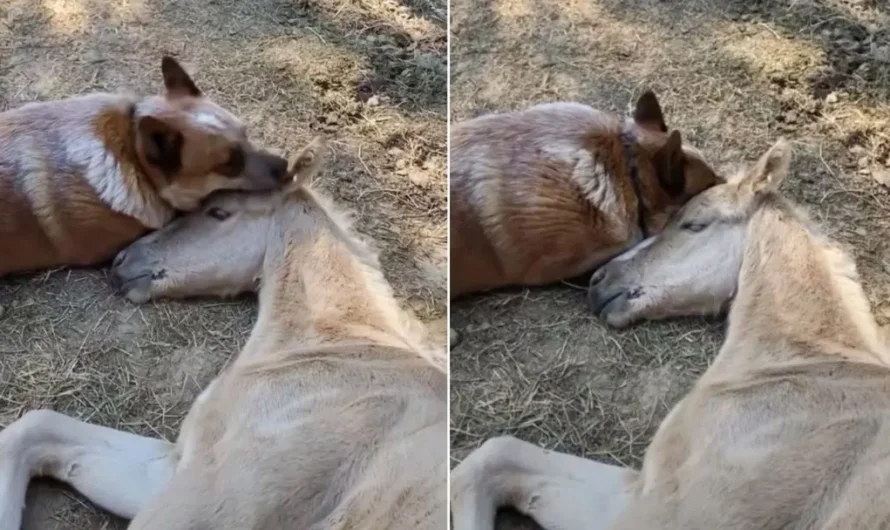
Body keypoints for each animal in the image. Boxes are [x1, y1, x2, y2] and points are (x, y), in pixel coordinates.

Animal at [0, 139, 444, 528]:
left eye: (218, 212)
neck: (340, 348)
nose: (123, 261)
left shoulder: (208, 501)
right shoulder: (173, 469)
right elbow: (35, 427)